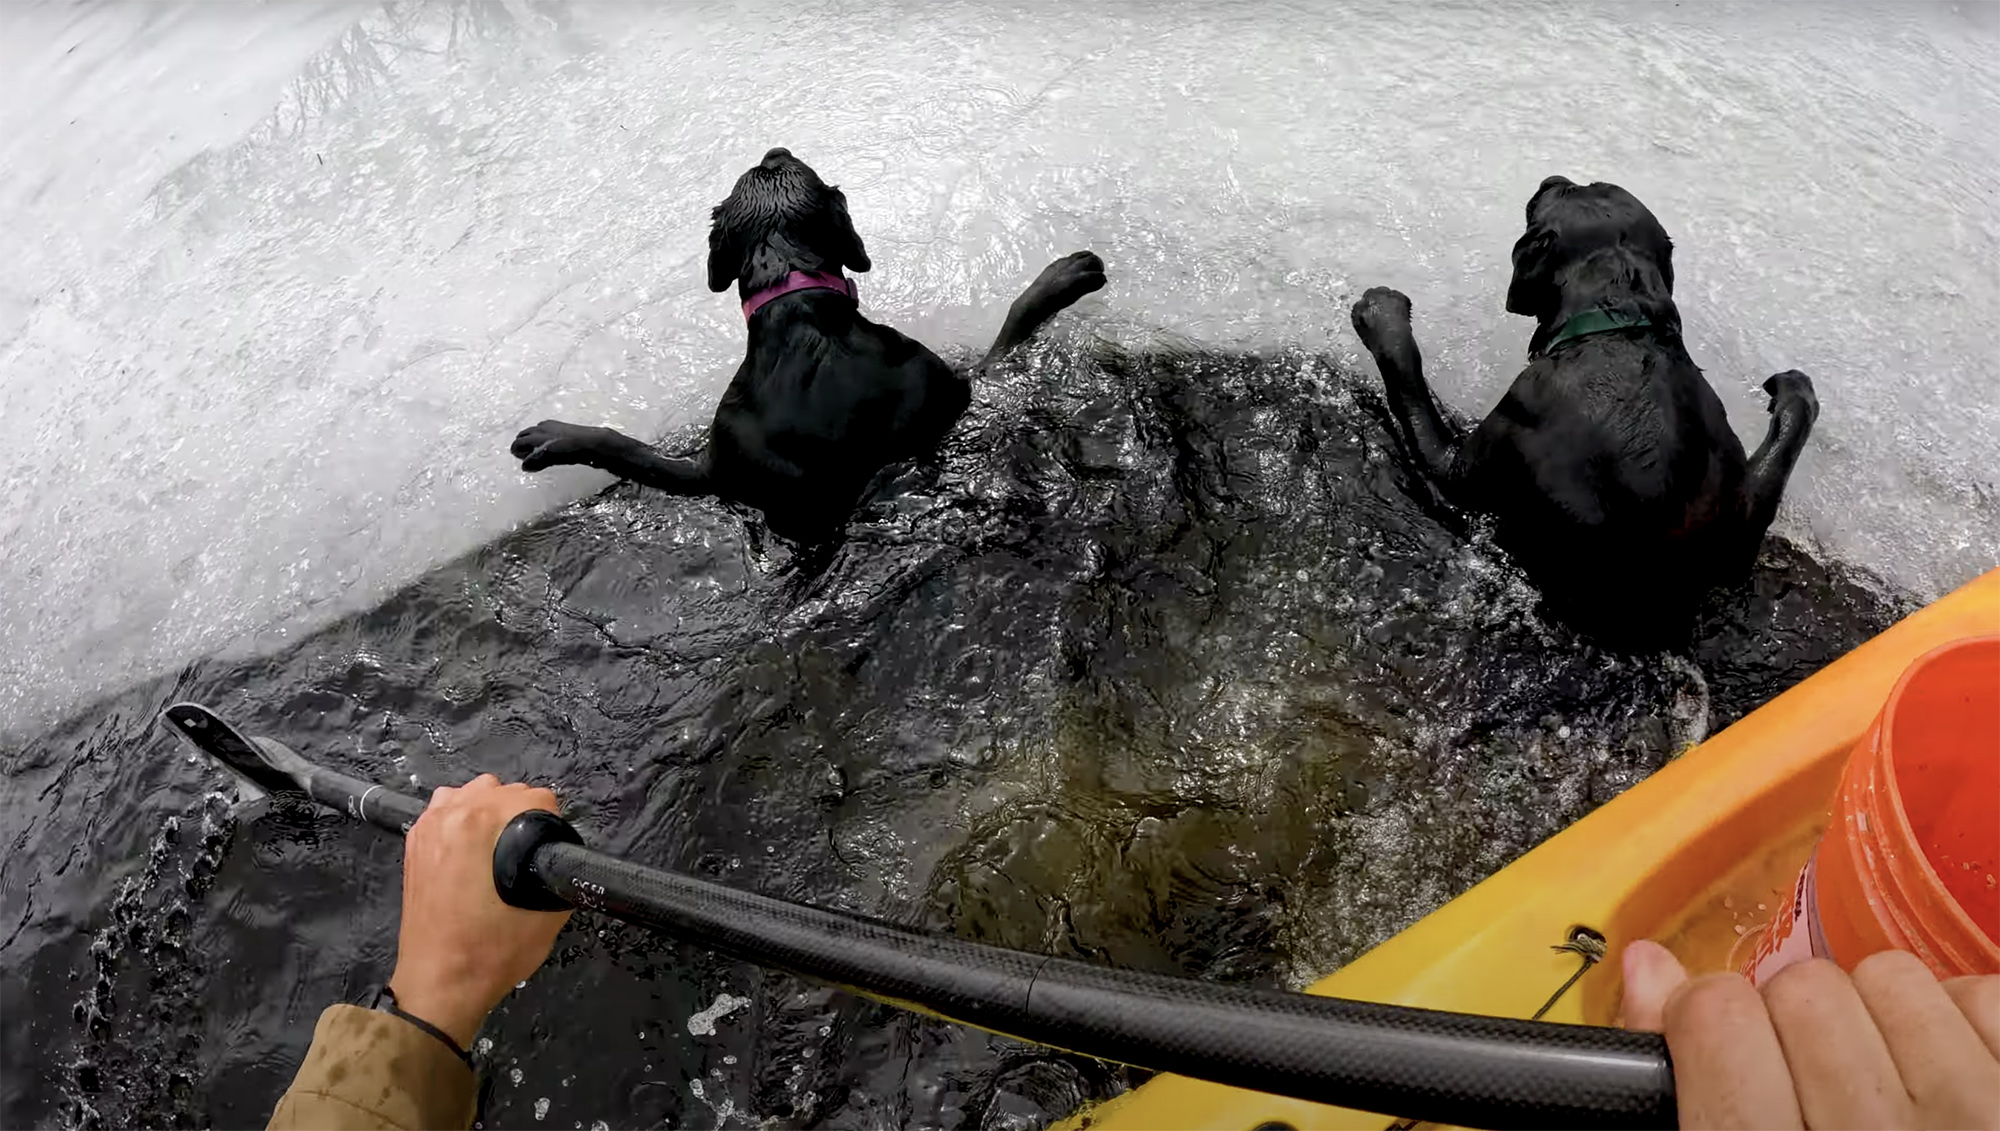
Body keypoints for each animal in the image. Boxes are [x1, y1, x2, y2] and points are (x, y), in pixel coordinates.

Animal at [516, 147, 1104, 543]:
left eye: (770, 169)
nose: (773, 149)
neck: (797, 313)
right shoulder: (951, 388)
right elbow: (1012, 326)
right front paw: (1063, 277)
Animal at [1352, 174, 1824, 639]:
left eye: (1564, 192)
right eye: (1591, 184)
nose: (1552, 177)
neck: (1616, 327)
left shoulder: (1470, 459)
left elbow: (1407, 381)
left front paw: (1381, 311)